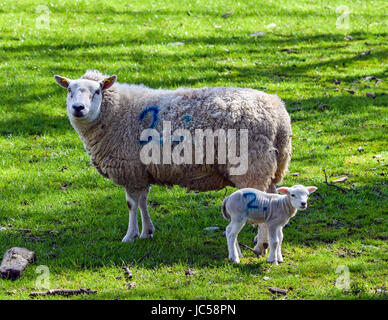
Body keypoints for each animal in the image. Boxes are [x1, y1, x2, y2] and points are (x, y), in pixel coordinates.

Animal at [54, 70, 292, 250]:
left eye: (97, 91)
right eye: (69, 90)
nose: (78, 108)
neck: (117, 113)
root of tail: (278, 113)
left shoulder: (130, 170)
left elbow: (131, 204)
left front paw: (130, 236)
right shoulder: (141, 172)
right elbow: (143, 201)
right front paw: (147, 232)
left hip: (252, 165)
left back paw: (261, 246)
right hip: (271, 165)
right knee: (271, 198)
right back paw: (267, 239)